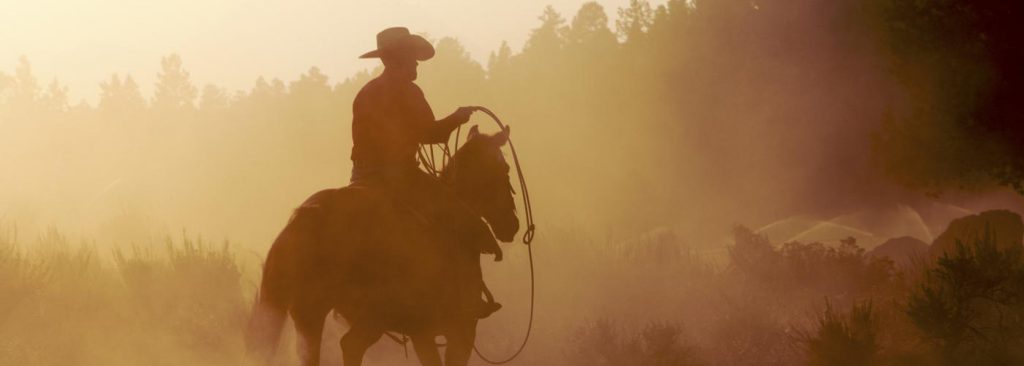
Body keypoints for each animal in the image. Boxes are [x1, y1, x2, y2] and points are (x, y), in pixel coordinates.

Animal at [245, 126, 520, 364]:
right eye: (505, 168)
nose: (513, 225)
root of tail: (306, 216)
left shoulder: (423, 333)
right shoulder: (459, 330)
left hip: (311, 314)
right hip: (363, 313)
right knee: (349, 345)